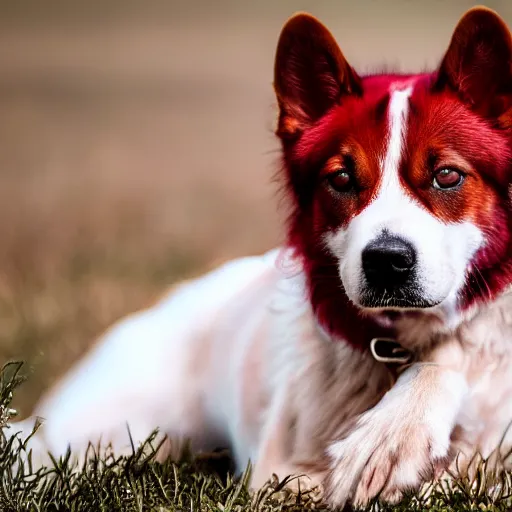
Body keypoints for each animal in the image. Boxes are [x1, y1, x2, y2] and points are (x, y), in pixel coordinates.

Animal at [6, 6, 512, 510]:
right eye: (342, 179)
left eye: (447, 176)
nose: (386, 261)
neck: (402, 343)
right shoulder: (280, 476)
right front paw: (391, 442)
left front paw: (392, 436)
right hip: (113, 431)